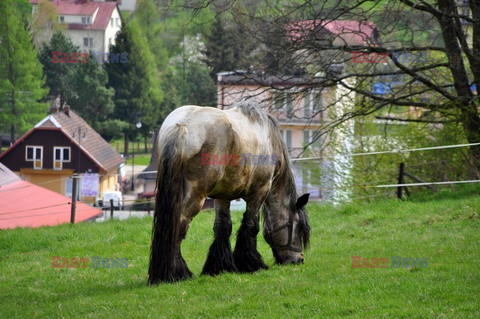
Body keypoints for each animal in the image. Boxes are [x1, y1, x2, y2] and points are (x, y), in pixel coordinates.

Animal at [147, 100, 312, 284]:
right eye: (298, 228)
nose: (299, 259)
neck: (270, 140)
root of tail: (181, 125)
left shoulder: (222, 196)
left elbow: (223, 227)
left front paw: (220, 266)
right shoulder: (259, 193)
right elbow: (251, 226)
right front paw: (251, 263)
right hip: (195, 197)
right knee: (179, 226)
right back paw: (178, 273)